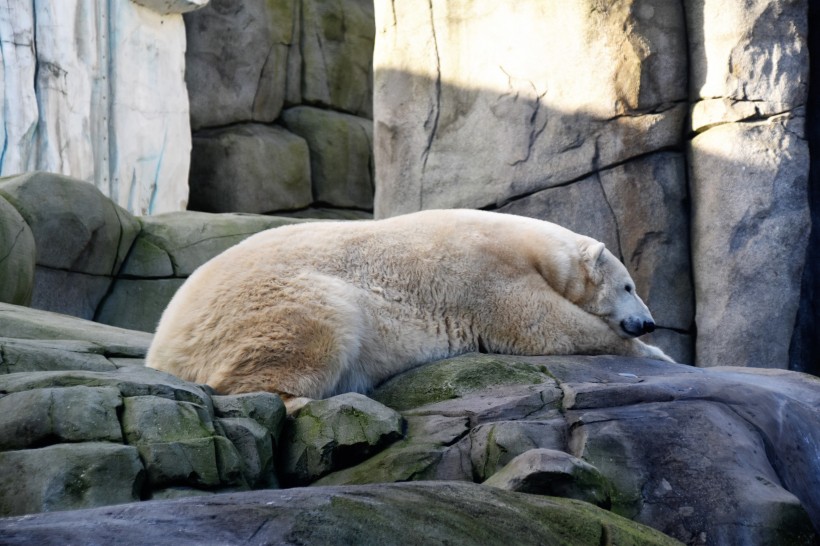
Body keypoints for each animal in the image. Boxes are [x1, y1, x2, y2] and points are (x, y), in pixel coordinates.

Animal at [146, 209, 673, 413]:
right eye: (628, 285)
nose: (648, 320)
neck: (533, 247)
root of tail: (162, 345)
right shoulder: (487, 272)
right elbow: (540, 324)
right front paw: (656, 353)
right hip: (274, 299)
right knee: (314, 324)